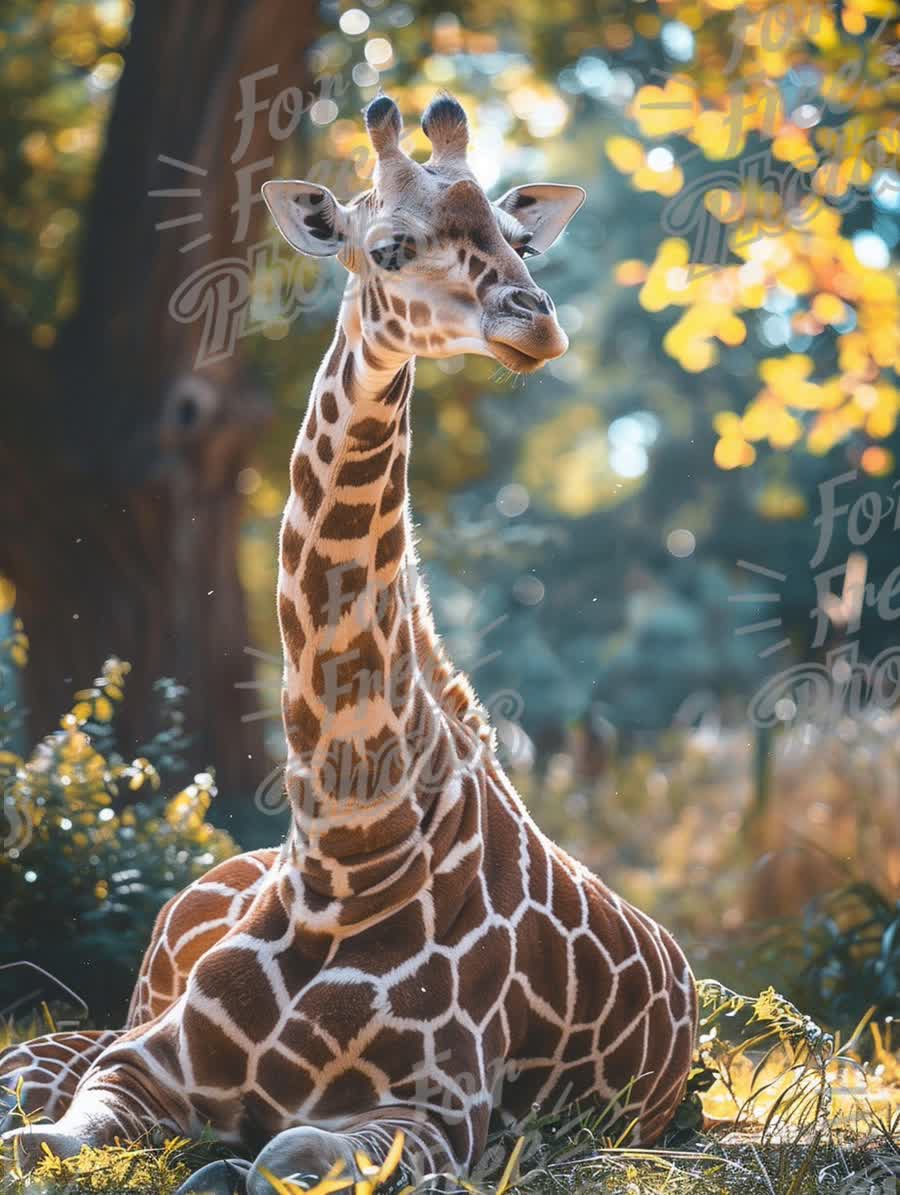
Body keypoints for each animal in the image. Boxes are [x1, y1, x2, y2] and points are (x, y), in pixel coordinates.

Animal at [0, 95, 693, 1195]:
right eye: (391, 246)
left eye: (520, 237)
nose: (535, 319)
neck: (344, 852)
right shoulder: (141, 1063)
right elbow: (39, 1140)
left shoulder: (442, 1117)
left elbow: (280, 1152)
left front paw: (221, 1167)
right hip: (122, 1005)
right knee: (29, 1065)